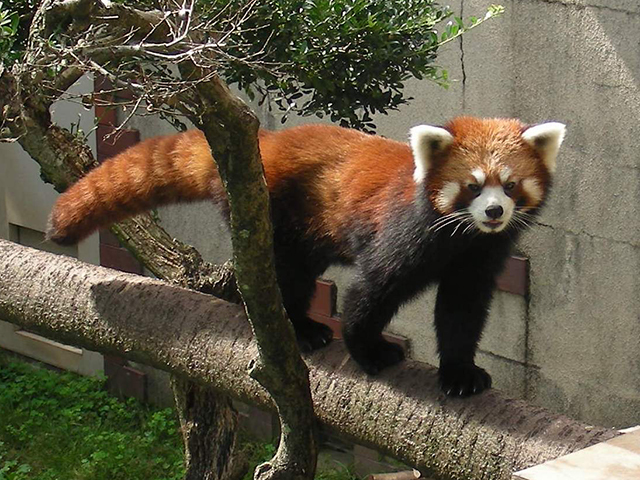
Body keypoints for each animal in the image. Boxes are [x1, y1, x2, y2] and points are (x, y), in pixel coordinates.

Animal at [46, 116, 564, 394]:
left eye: (510, 185)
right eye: (472, 186)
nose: (494, 211)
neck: (462, 237)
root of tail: (266, 142)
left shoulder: (479, 258)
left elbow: (461, 313)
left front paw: (459, 374)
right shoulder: (403, 235)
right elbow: (371, 291)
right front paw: (369, 350)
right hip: (274, 213)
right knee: (283, 277)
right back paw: (302, 328)